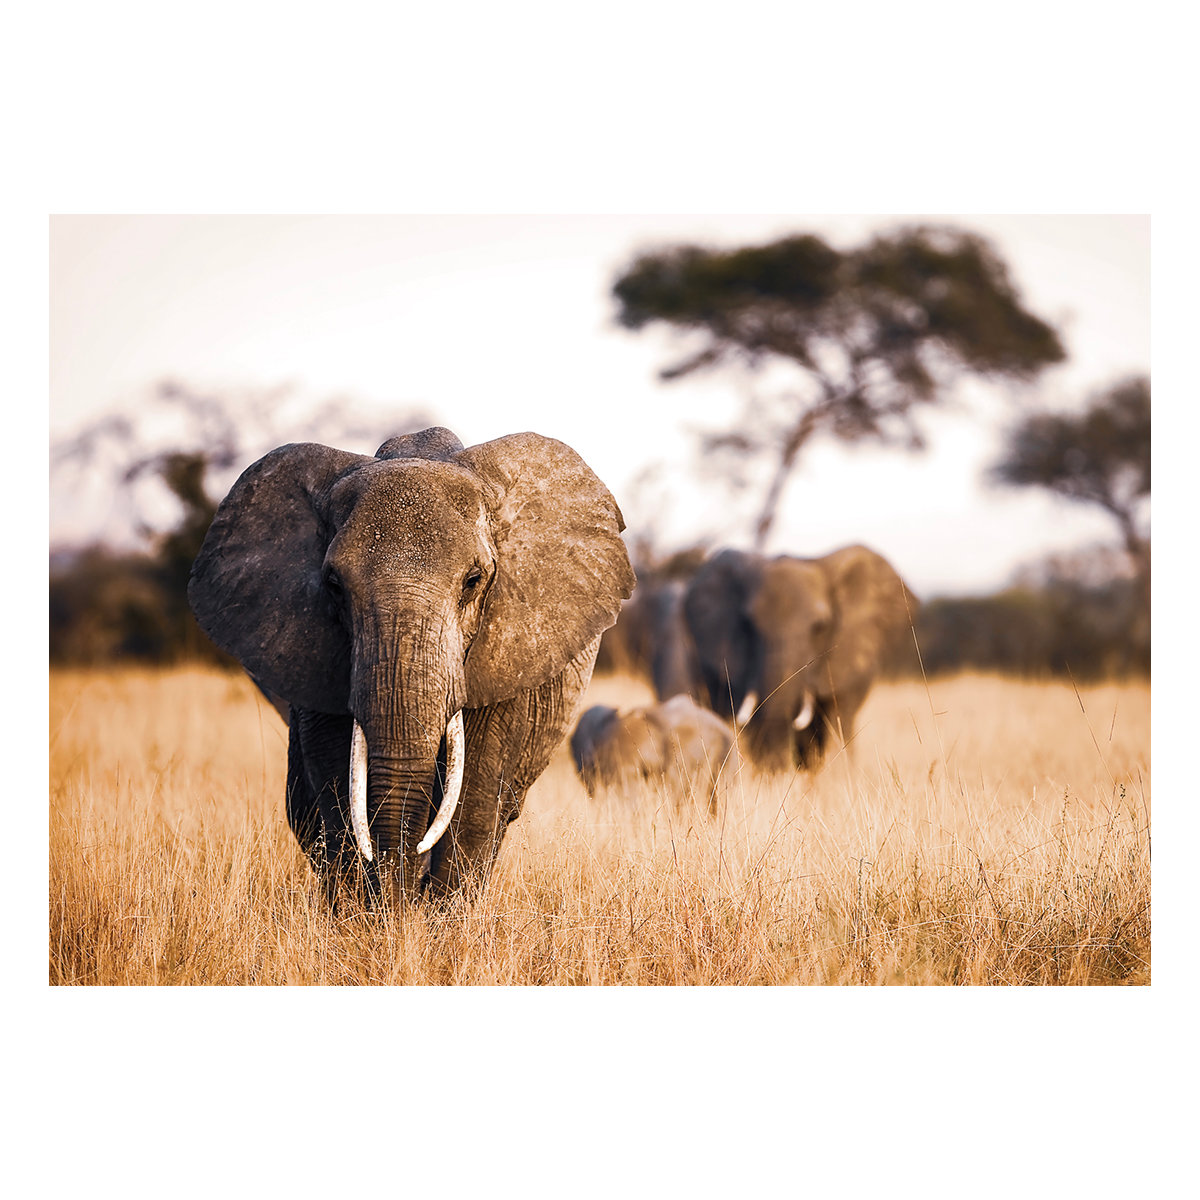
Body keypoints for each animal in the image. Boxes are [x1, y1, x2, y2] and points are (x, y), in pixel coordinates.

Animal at [188, 426, 635, 904]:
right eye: (334, 586)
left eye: (473, 581)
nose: (401, 903)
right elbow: (336, 781)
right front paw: (364, 917)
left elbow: (475, 793)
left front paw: (440, 918)